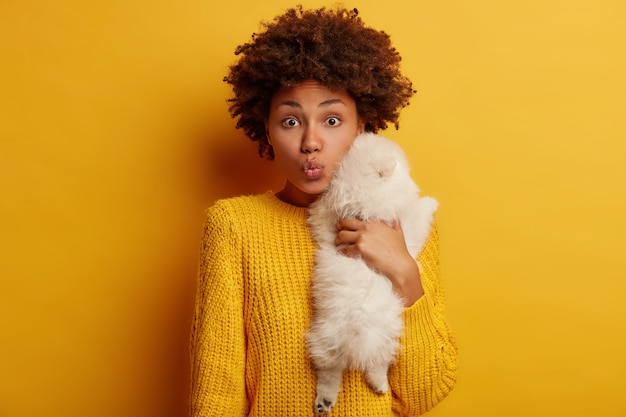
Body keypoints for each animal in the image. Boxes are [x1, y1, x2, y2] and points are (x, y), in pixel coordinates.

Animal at [304, 131, 436, 412]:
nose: (411, 175)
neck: (361, 203)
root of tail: (353, 337)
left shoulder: (327, 220)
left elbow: (319, 217)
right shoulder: (407, 230)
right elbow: (420, 215)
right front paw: (432, 202)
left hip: (326, 341)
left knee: (329, 372)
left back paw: (325, 401)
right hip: (384, 333)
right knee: (375, 364)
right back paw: (379, 384)